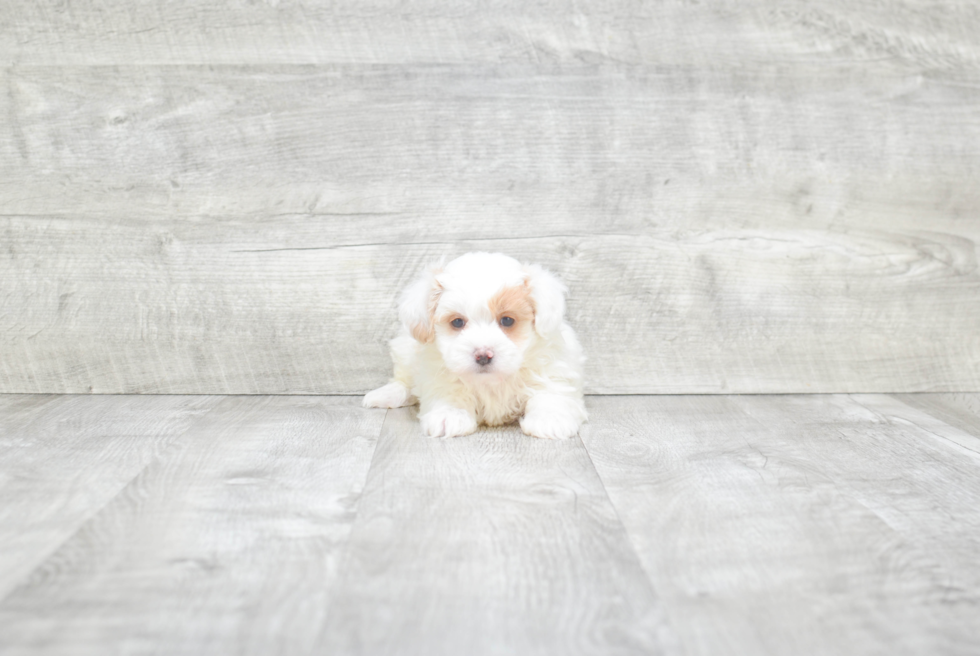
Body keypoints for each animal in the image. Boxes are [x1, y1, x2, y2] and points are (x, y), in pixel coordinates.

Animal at [364, 252, 584, 440]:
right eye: (457, 322)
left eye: (507, 320)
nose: (483, 355)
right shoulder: (436, 371)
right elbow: (449, 389)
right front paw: (449, 414)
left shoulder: (553, 367)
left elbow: (550, 391)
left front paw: (550, 419)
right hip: (405, 350)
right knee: (403, 381)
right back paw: (384, 395)